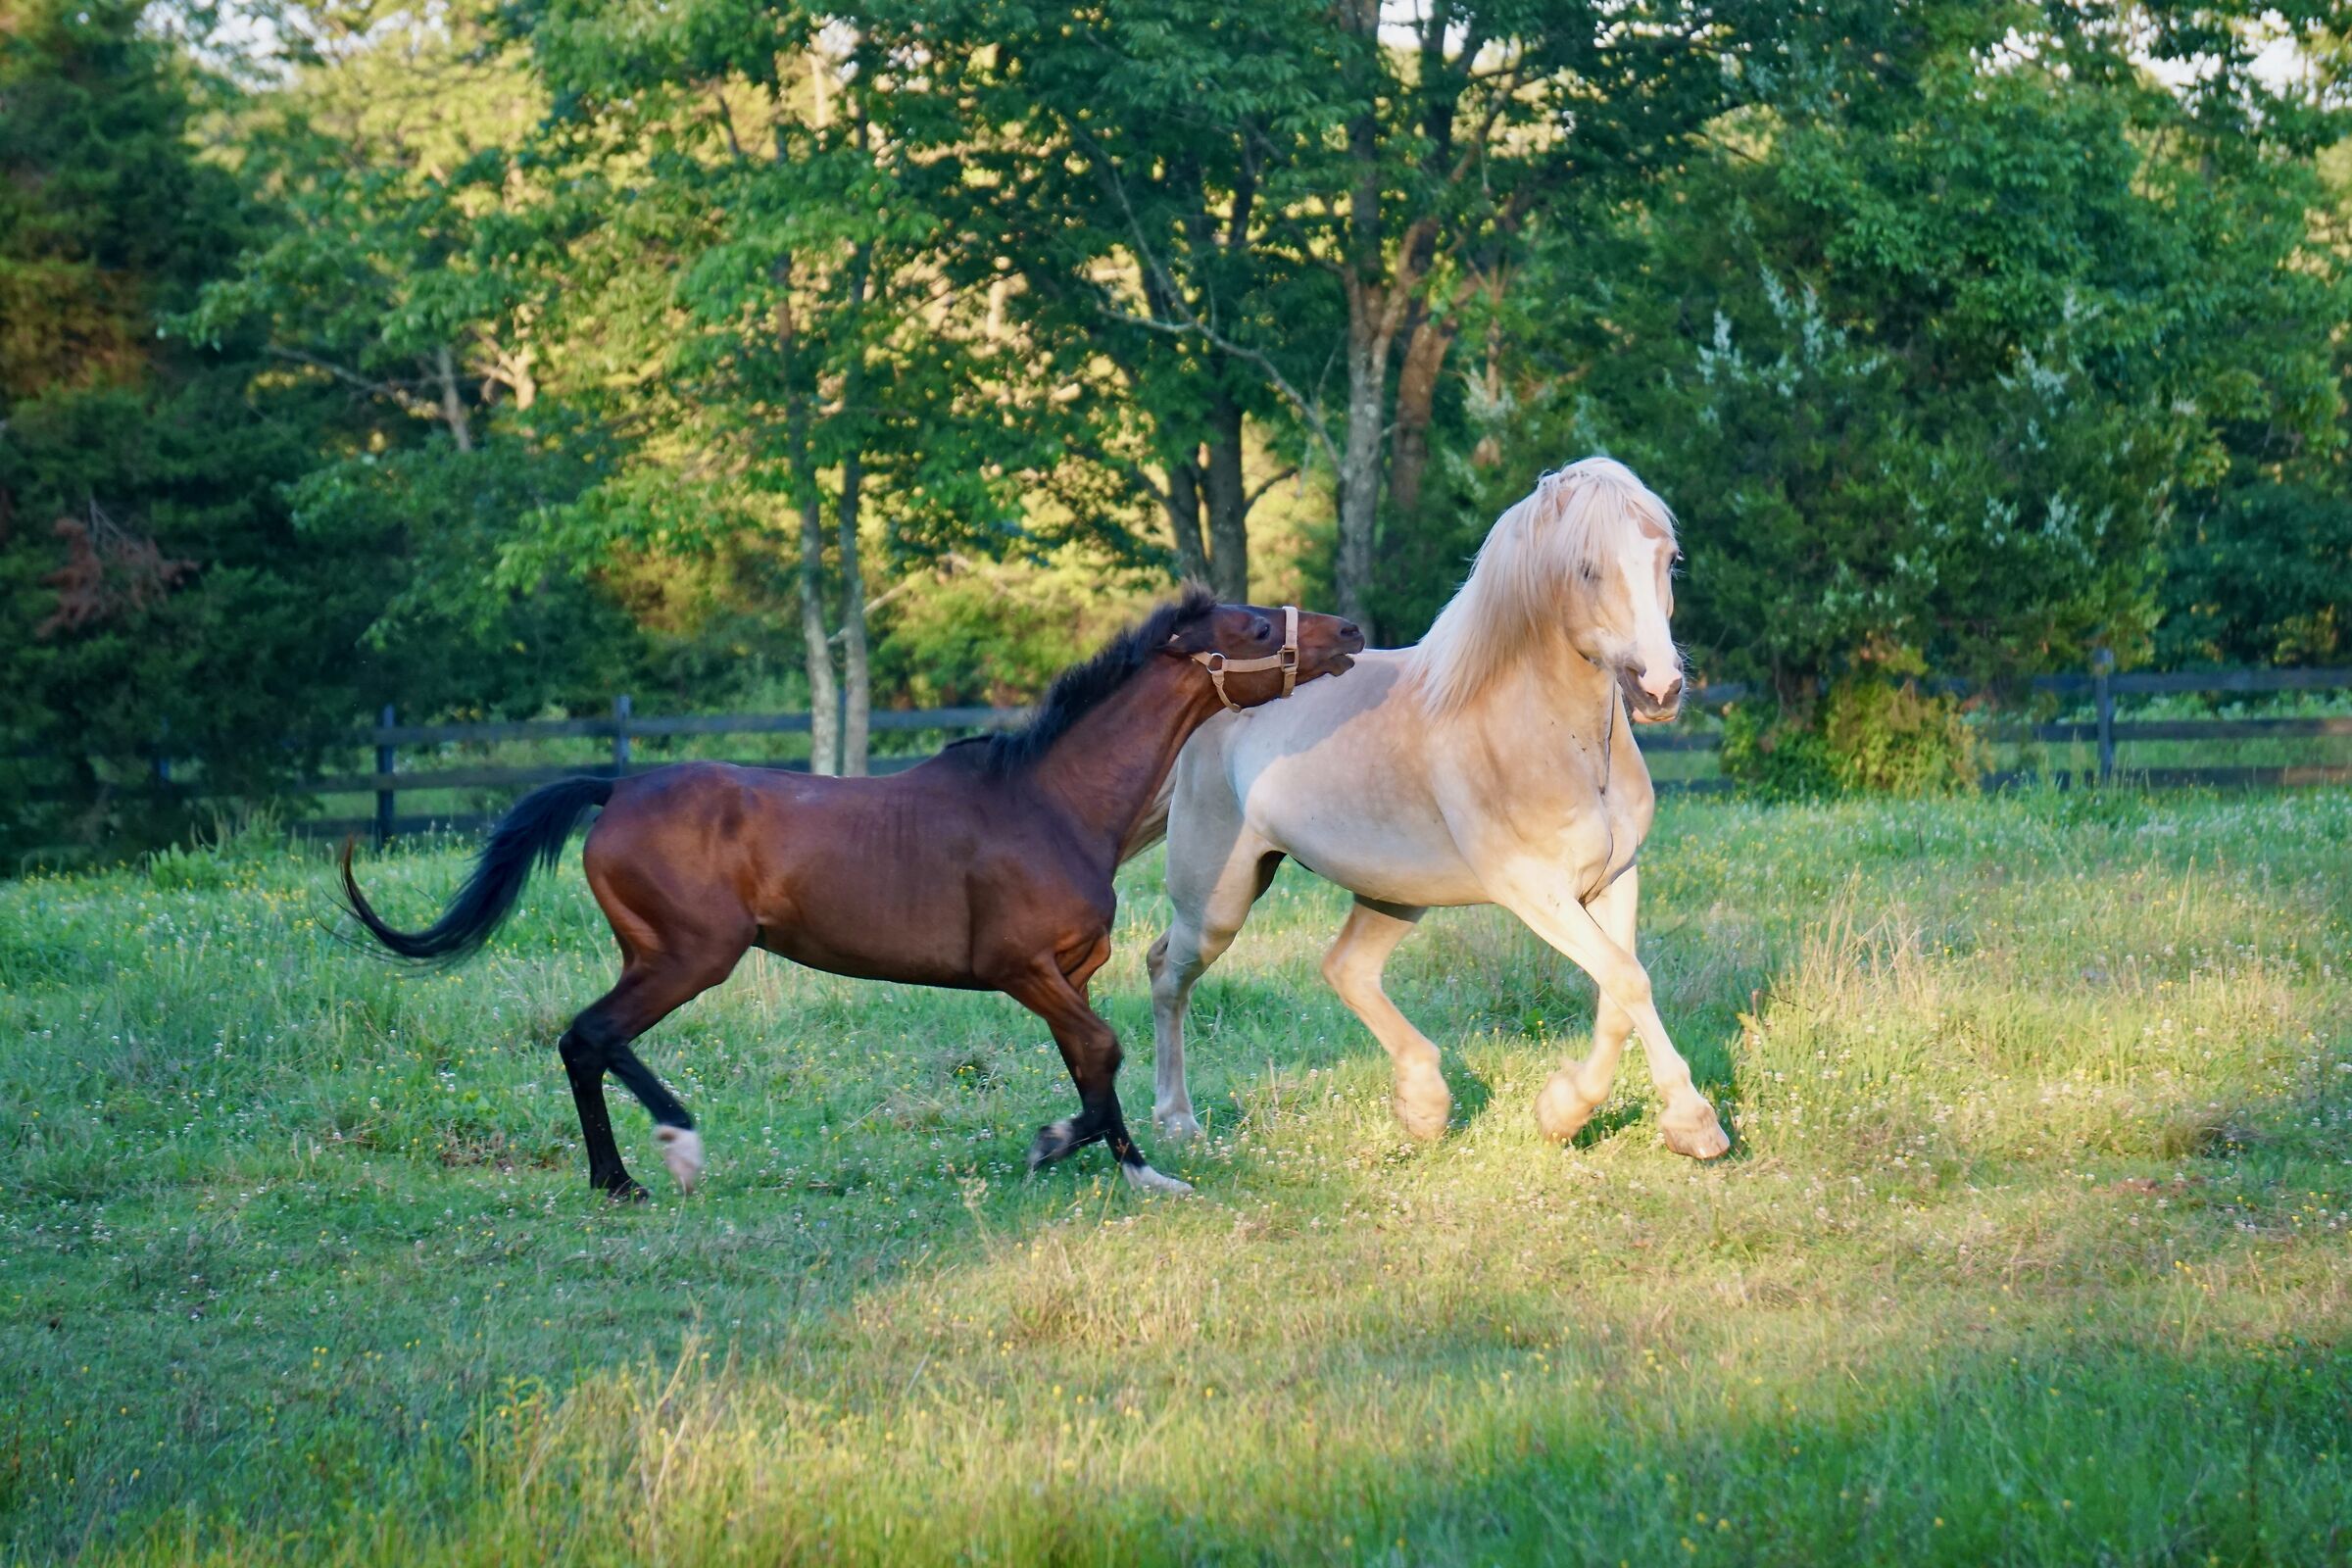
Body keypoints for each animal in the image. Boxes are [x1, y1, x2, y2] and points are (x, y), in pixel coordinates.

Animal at [339, 588, 1364, 1199]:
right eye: (1256, 629)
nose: (1352, 632)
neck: (1053, 801)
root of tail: (616, 787)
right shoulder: (1019, 967)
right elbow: (1103, 1051)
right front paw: (1103, 1159)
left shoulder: (1063, 974)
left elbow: (1090, 1063)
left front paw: (1112, 1157)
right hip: (690, 955)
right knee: (591, 1036)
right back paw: (665, 1153)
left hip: (657, 953)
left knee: (586, 1043)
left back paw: (618, 1179)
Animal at [1143, 459, 1732, 1160]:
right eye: (1587, 567)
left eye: (1668, 560)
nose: (1659, 688)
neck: (1562, 742)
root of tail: (1208, 691)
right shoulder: (1536, 892)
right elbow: (1627, 978)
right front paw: (1690, 1122)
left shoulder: (1615, 880)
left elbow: (1619, 990)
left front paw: (1564, 1112)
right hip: (1218, 901)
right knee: (1166, 971)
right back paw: (1176, 1121)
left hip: (1393, 892)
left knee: (1346, 969)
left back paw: (1423, 1105)